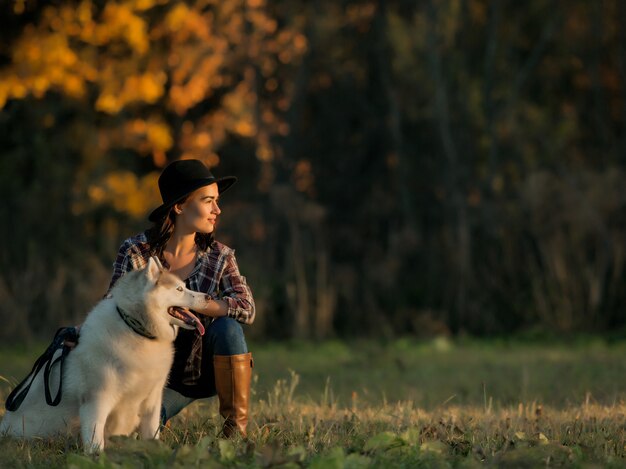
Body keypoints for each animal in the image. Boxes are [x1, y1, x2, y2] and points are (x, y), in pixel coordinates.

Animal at [0, 258, 210, 452]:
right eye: (179, 289)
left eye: (184, 287)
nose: (208, 297)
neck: (136, 329)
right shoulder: (96, 400)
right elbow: (95, 437)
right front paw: (97, 457)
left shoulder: (152, 399)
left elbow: (151, 433)